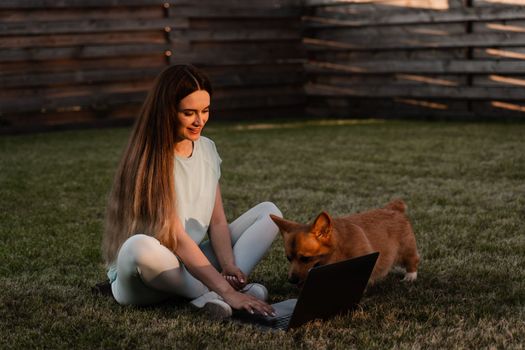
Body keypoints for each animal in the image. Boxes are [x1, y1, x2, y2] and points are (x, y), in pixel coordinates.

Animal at [268, 200, 420, 288]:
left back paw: (410, 277)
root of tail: (394, 208)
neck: (337, 251)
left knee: (412, 260)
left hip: (406, 249)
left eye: (306, 258)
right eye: (288, 258)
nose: (292, 281)